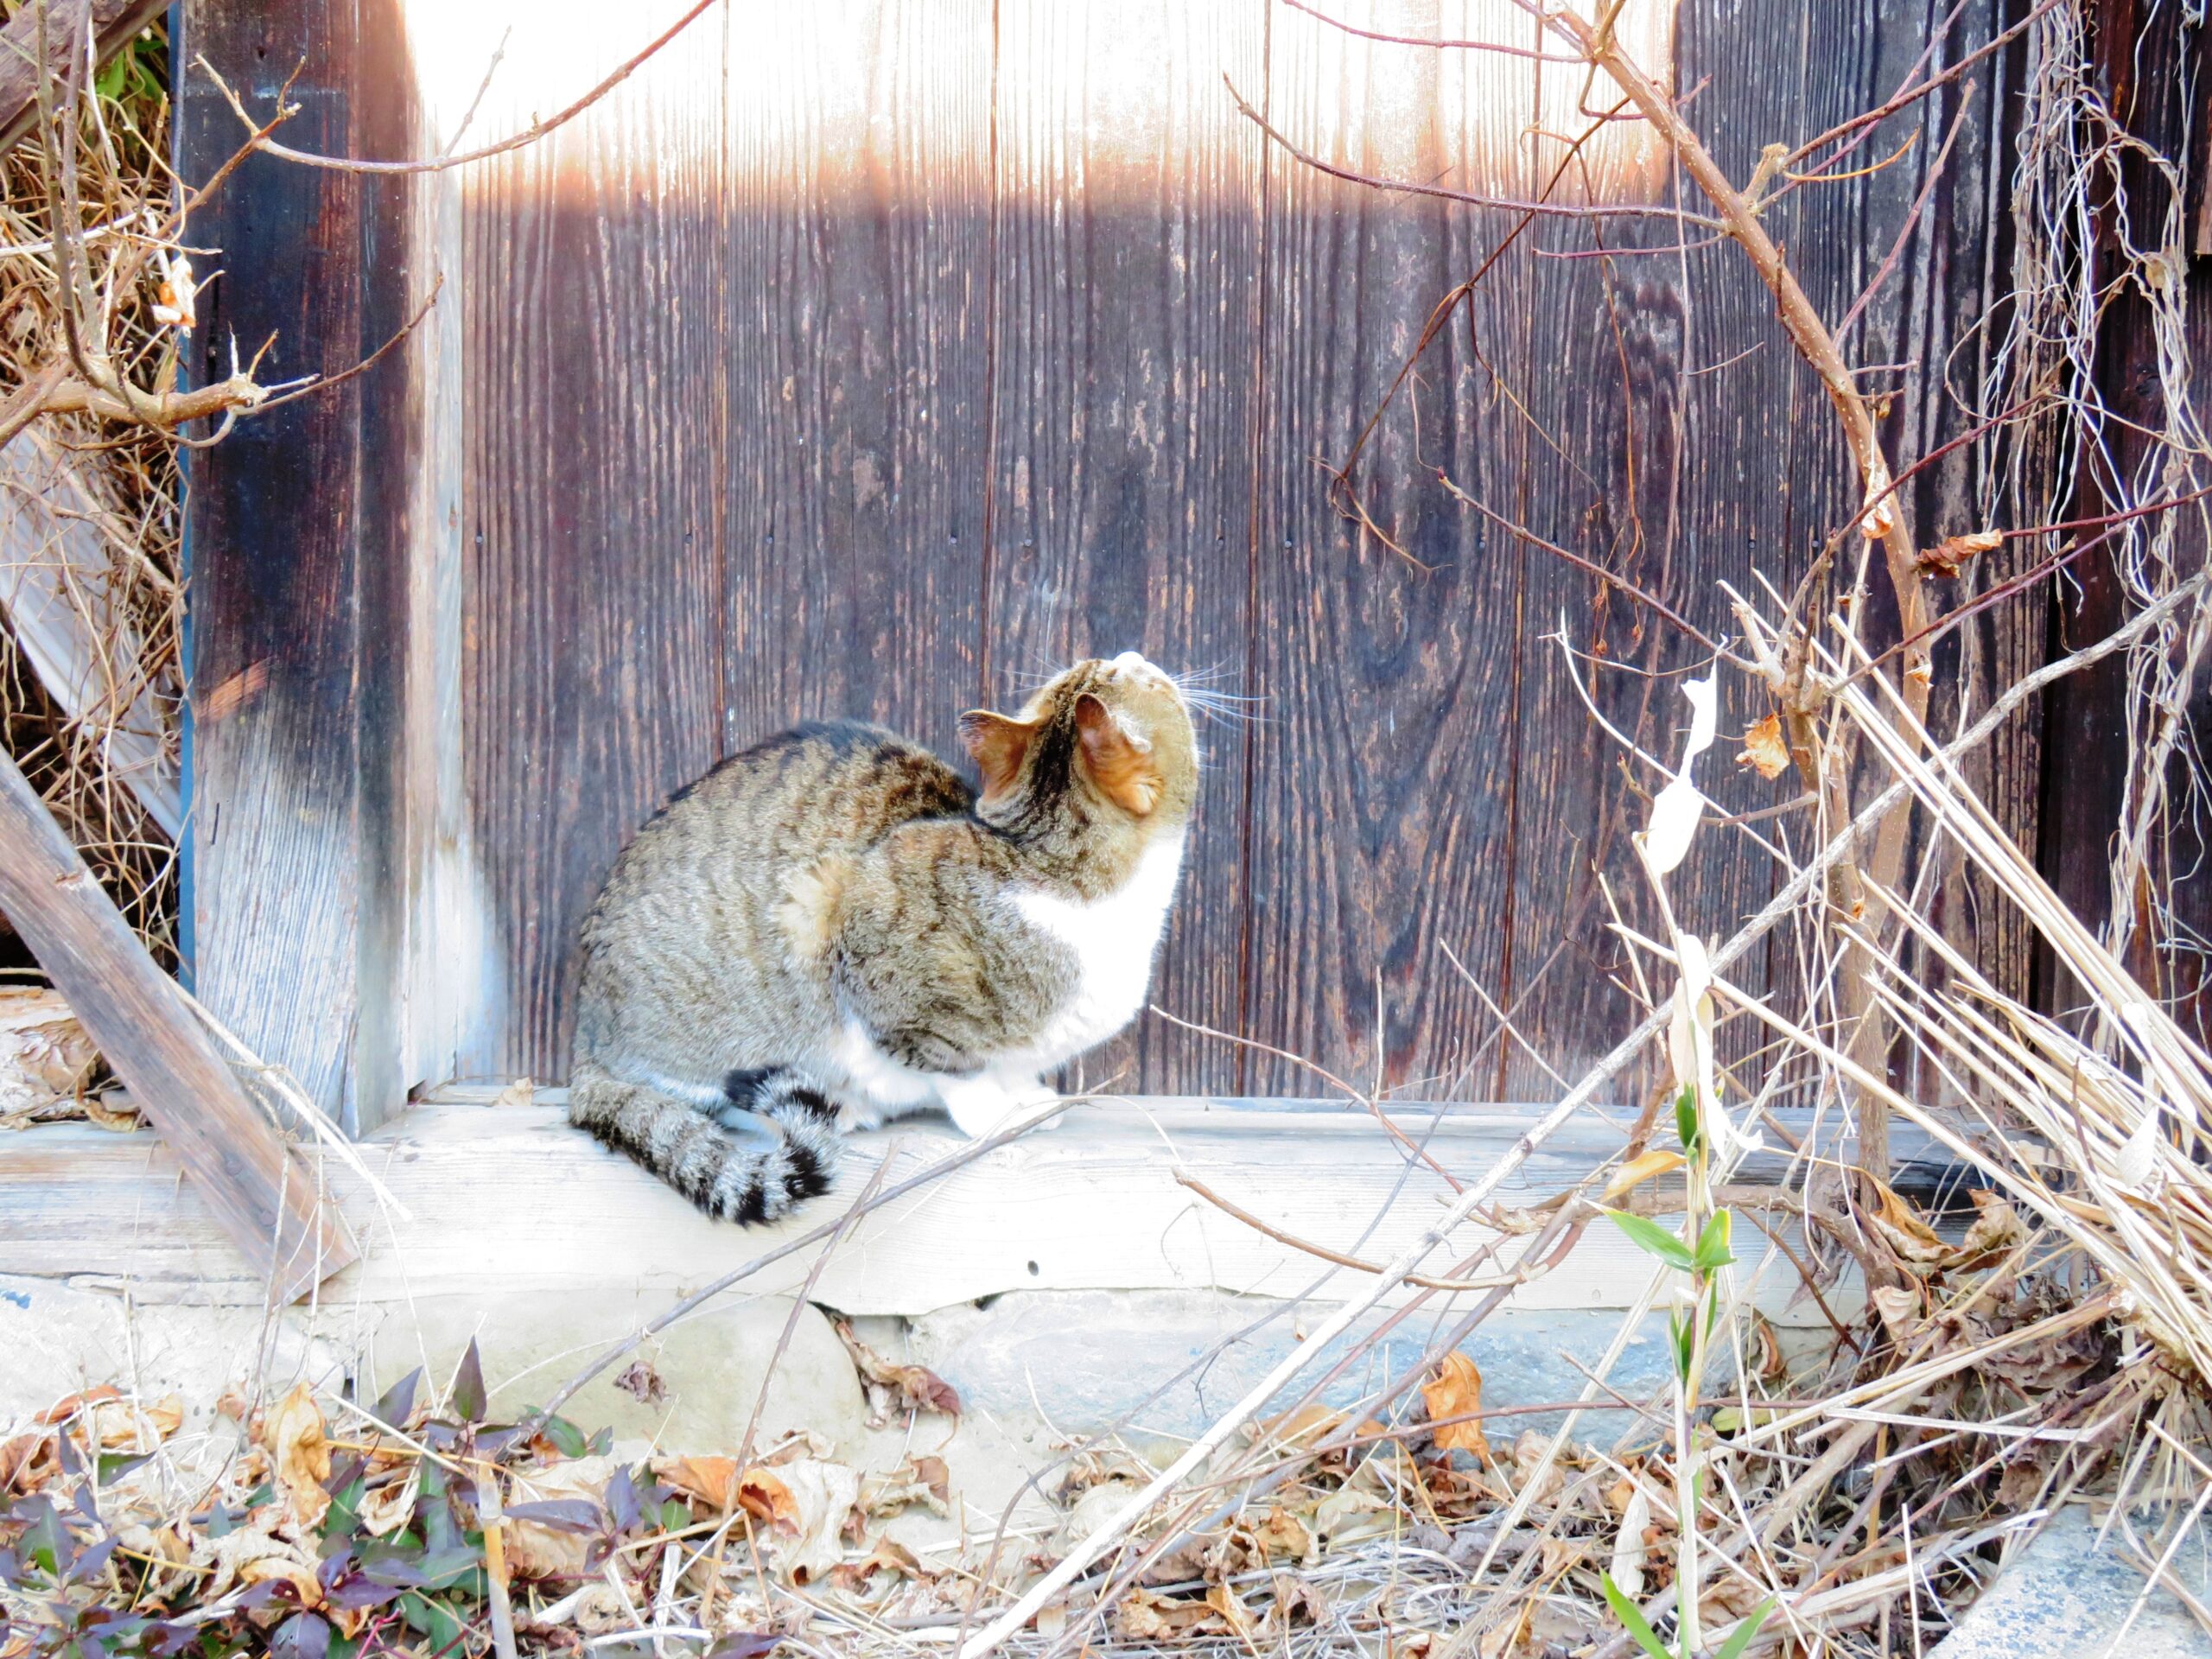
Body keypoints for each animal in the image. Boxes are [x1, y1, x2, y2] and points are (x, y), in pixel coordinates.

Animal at [562, 654, 1203, 1230]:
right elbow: (953, 1065)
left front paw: (1027, 1096)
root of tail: (586, 1038)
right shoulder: (869, 950)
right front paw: (992, 1111)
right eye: (1143, 677)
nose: (1134, 653)